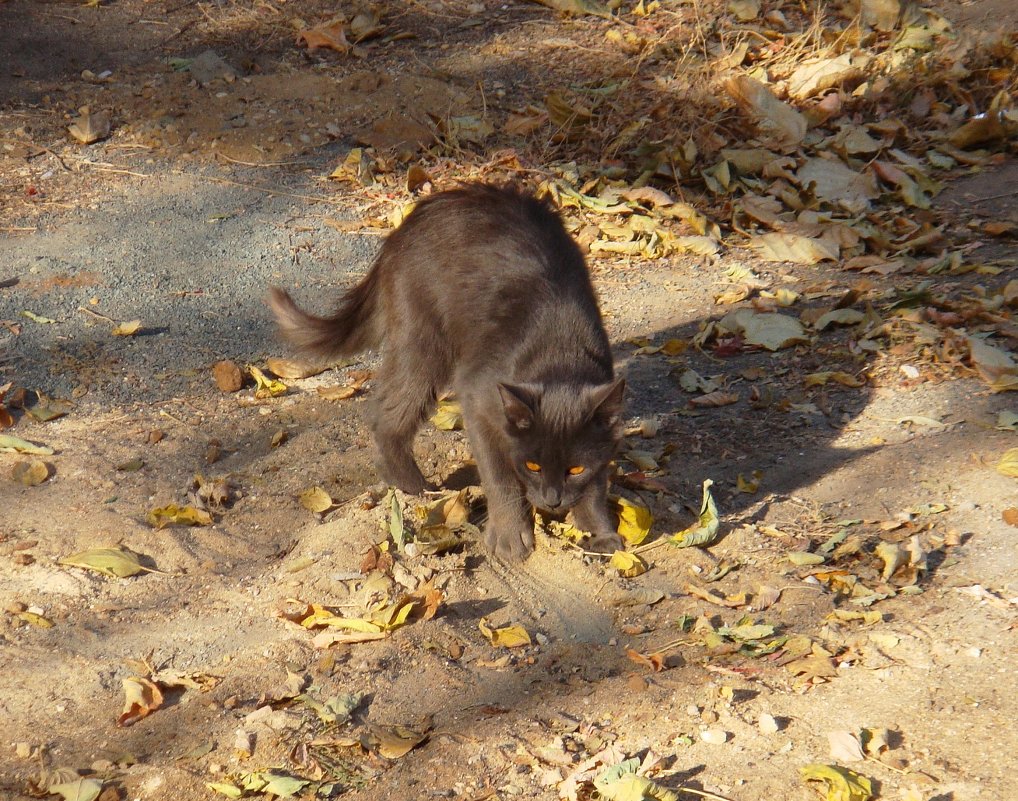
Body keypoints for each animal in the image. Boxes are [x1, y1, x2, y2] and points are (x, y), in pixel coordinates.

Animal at [268, 184, 618, 561]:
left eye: (575, 469)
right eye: (533, 466)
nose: (553, 501)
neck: (559, 350)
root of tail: (415, 216)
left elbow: (597, 482)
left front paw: (601, 534)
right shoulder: (478, 401)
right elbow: (500, 476)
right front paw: (510, 537)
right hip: (424, 342)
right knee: (386, 415)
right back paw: (413, 488)